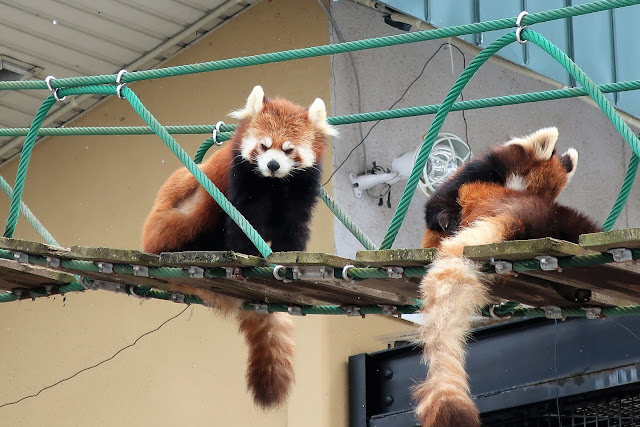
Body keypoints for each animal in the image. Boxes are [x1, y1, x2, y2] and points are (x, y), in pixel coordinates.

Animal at [142, 85, 338, 410]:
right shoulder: (241, 177)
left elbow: (295, 225)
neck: (274, 183)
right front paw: (248, 253)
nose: (272, 165)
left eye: (288, 150)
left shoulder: (302, 185)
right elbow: (242, 218)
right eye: (263, 146)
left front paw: (289, 254)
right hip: (179, 214)